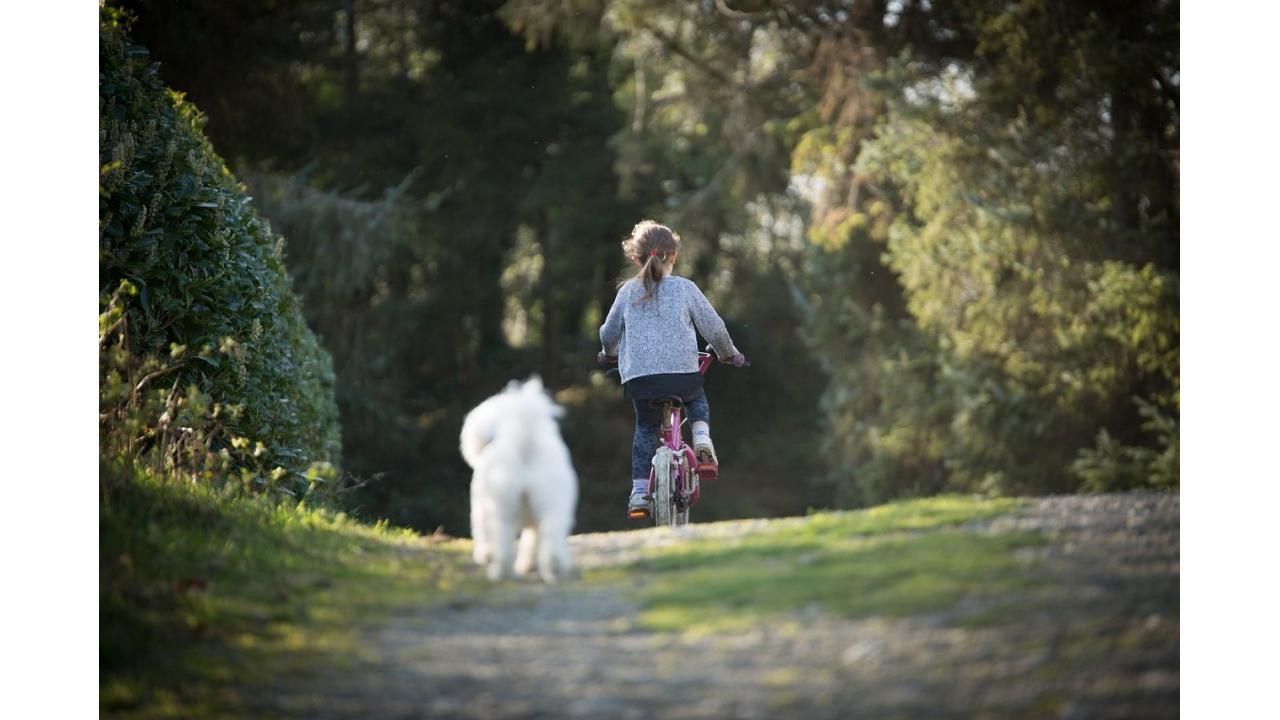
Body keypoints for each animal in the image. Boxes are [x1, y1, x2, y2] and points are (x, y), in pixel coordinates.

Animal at [458, 371, 578, 579]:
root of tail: (524, 443)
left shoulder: (480, 508)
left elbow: (482, 533)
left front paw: (484, 555)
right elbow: (531, 541)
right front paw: (527, 565)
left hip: (501, 508)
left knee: (503, 543)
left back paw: (498, 571)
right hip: (551, 505)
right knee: (550, 536)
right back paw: (553, 570)